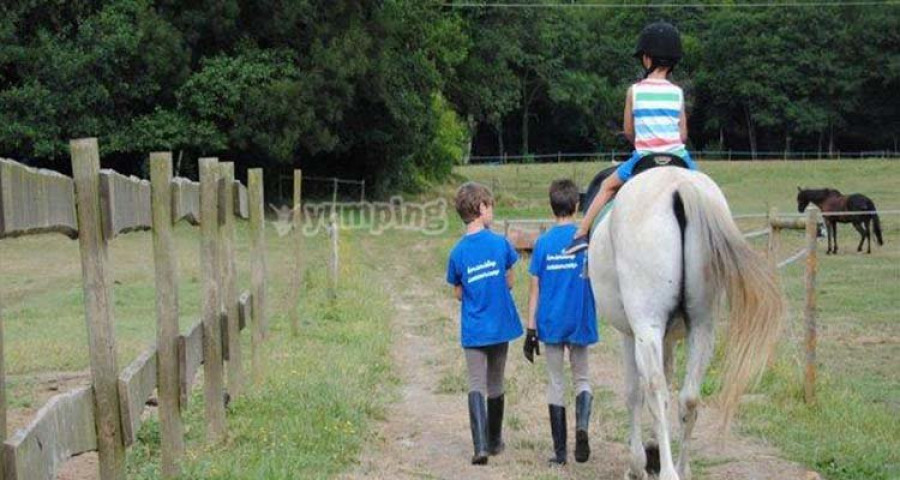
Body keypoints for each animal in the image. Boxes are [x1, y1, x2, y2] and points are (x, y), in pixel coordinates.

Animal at [588, 167, 784, 478]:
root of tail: (679, 187)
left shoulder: (630, 334)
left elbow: (634, 393)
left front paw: (637, 464)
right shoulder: (668, 338)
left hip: (648, 328)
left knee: (656, 391)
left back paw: (668, 470)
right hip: (702, 329)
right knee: (689, 398)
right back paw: (682, 468)